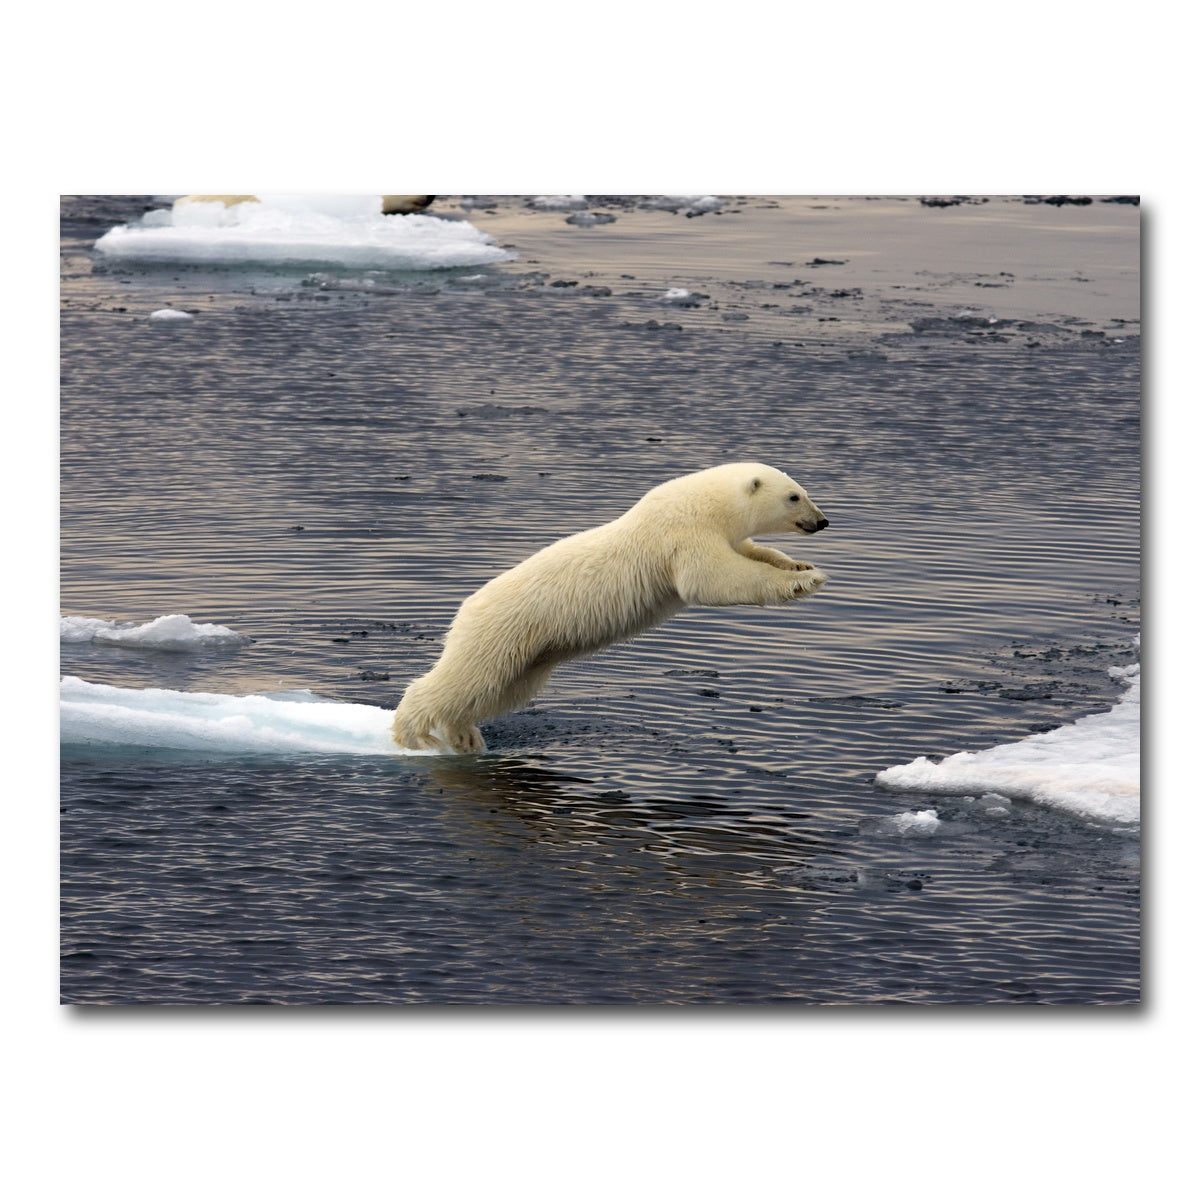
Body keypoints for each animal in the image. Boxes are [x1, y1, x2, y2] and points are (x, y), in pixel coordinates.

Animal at [391, 462, 830, 753]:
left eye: (804, 489)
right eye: (795, 496)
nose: (822, 521)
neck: (705, 503)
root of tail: (466, 608)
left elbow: (753, 552)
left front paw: (800, 566)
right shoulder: (682, 535)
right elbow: (715, 579)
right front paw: (802, 581)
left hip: (531, 654)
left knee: (499, 690)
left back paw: (464, 735)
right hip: (504, 630)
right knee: (466, 679)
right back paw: (414, 734)